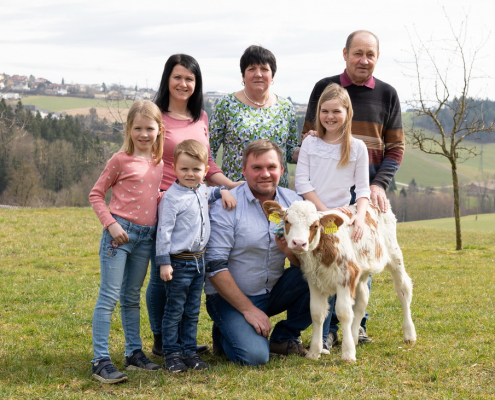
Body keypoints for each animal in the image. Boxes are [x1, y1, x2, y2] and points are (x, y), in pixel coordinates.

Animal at [264, 202, 418, 360]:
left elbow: (344, 312)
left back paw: (409, 334)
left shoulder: (347, 275)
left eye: (315, 225)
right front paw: (314, 352)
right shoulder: (314, 281)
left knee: (403, 289)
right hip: (361, 270)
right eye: (287, 221)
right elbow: (316, 313)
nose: (299, 243)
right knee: (362, 300)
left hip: (394, 256)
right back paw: (355, 337)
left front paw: (348, 353)